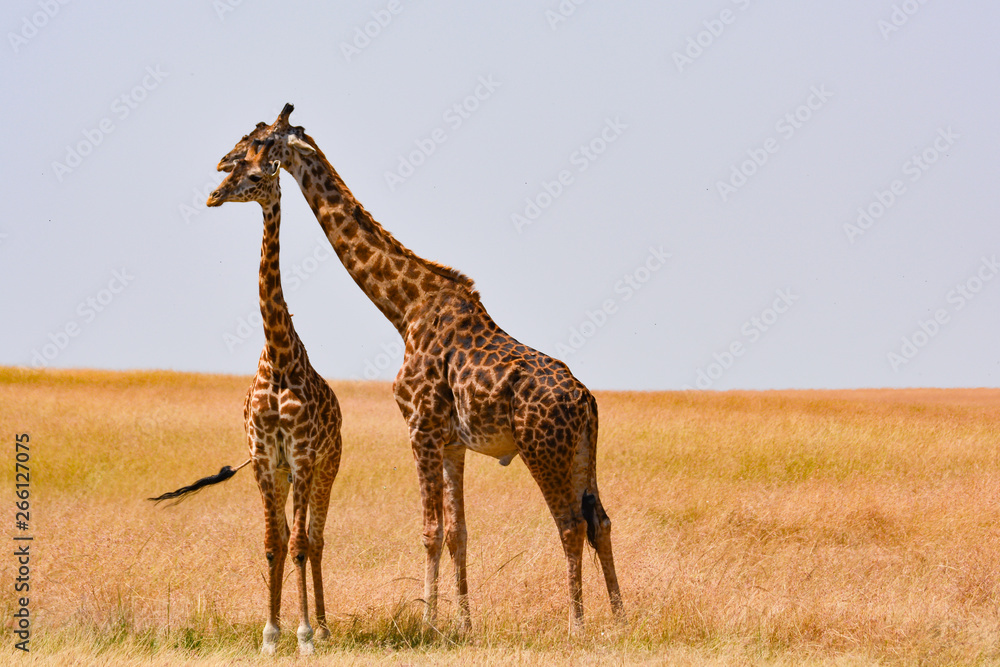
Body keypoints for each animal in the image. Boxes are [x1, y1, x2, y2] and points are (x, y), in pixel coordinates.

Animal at [150, 138, 343, 655]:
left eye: (256, 177)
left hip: (326, 466)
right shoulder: (263, 458)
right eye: (232, 168)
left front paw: (304, 636)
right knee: (296, 536)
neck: (277, 358)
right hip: (285, 473)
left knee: (315, 539)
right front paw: (271, 634)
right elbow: (273, 543)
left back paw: (323, 626)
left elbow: (298, 545)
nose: (214, 196)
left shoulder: (301, 456)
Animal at [218, 105, 623, 633]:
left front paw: (429, 623)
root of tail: (587, 402)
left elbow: (430, 530)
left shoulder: (421, 427)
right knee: (600, 520)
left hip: (543, 449)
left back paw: (576, 623)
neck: (405, 308)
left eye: (260, 143)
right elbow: (457, 532)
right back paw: (621, 618)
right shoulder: (452, 442)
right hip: (580, 453)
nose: (222, 165)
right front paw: (464, 624)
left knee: (571, 524)